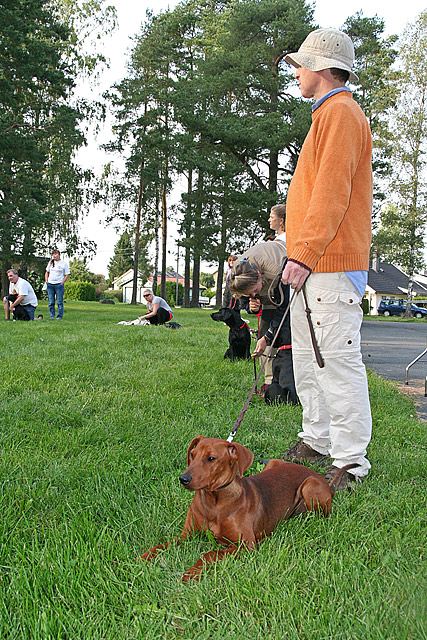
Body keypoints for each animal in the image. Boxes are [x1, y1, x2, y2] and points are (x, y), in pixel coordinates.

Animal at [140, 436, 358, 581]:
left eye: (211, 458)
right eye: (192, 455)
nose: (183, 479)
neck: (214, 502)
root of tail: (325, 482)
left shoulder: (246, 545)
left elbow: (210, 553)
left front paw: (191, 572)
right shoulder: (187, 535)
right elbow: (161, 546)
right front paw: (143, 557)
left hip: (310, 486)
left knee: (322, 515)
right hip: (273, 463)